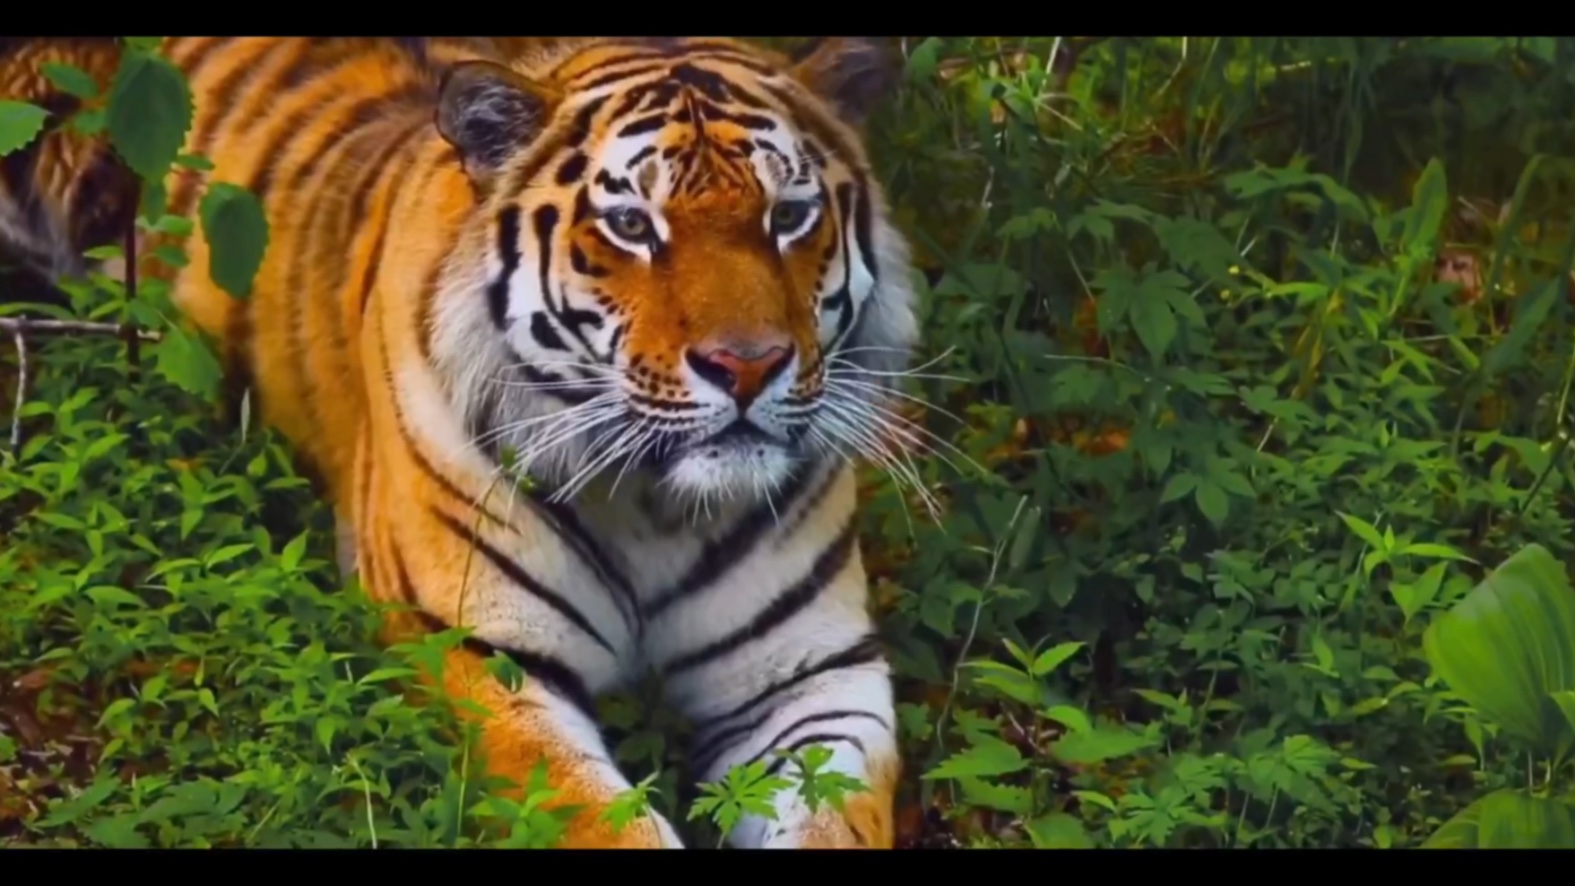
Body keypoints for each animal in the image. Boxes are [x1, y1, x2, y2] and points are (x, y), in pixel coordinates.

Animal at [1, 36, 920, 849]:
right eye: (631, 225)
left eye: (789, 216)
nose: (747, 366)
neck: (659, 508)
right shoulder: (484, 650)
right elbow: (598, 821)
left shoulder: (817, 675)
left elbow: (830, 819)